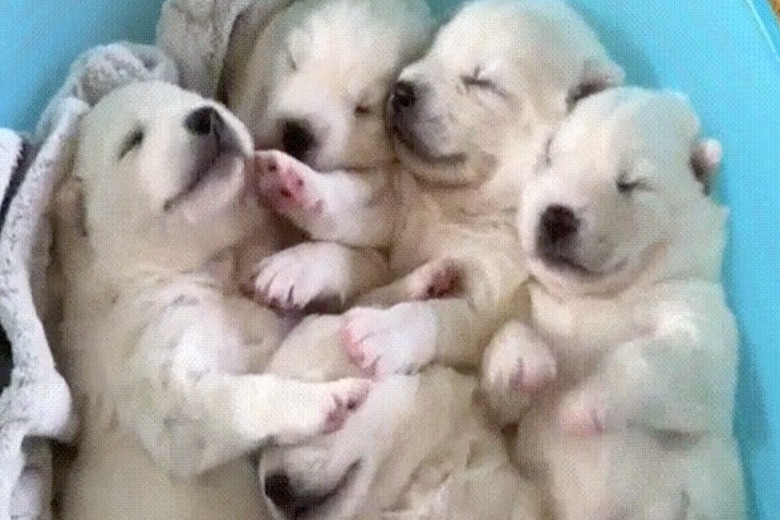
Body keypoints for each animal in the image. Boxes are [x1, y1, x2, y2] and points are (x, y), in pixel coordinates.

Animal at [54, 81, 372, 520]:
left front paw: (298, 268)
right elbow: (204, 406)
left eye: (195, 96)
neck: (215, 265)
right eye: (132, 139)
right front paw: (328, 399)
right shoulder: (145, 351)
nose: (206, 116)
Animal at [253, 0, 624, 378]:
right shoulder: (405, 206)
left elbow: (456, 317)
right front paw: (294, 193)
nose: (401, 91)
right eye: (434, 51)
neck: (459, 204)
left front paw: (384, 333)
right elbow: (360, 219)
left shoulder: (501, 281)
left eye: (482, 82)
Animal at [484, 86, 748, 520]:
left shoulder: (699, 318)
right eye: (550, 157)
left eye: (631, 184)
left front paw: (583, 405)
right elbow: (504, 368)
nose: (556, 216)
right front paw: (522, 361)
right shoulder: (509, 415)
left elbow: (659, 358)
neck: (599, 299)